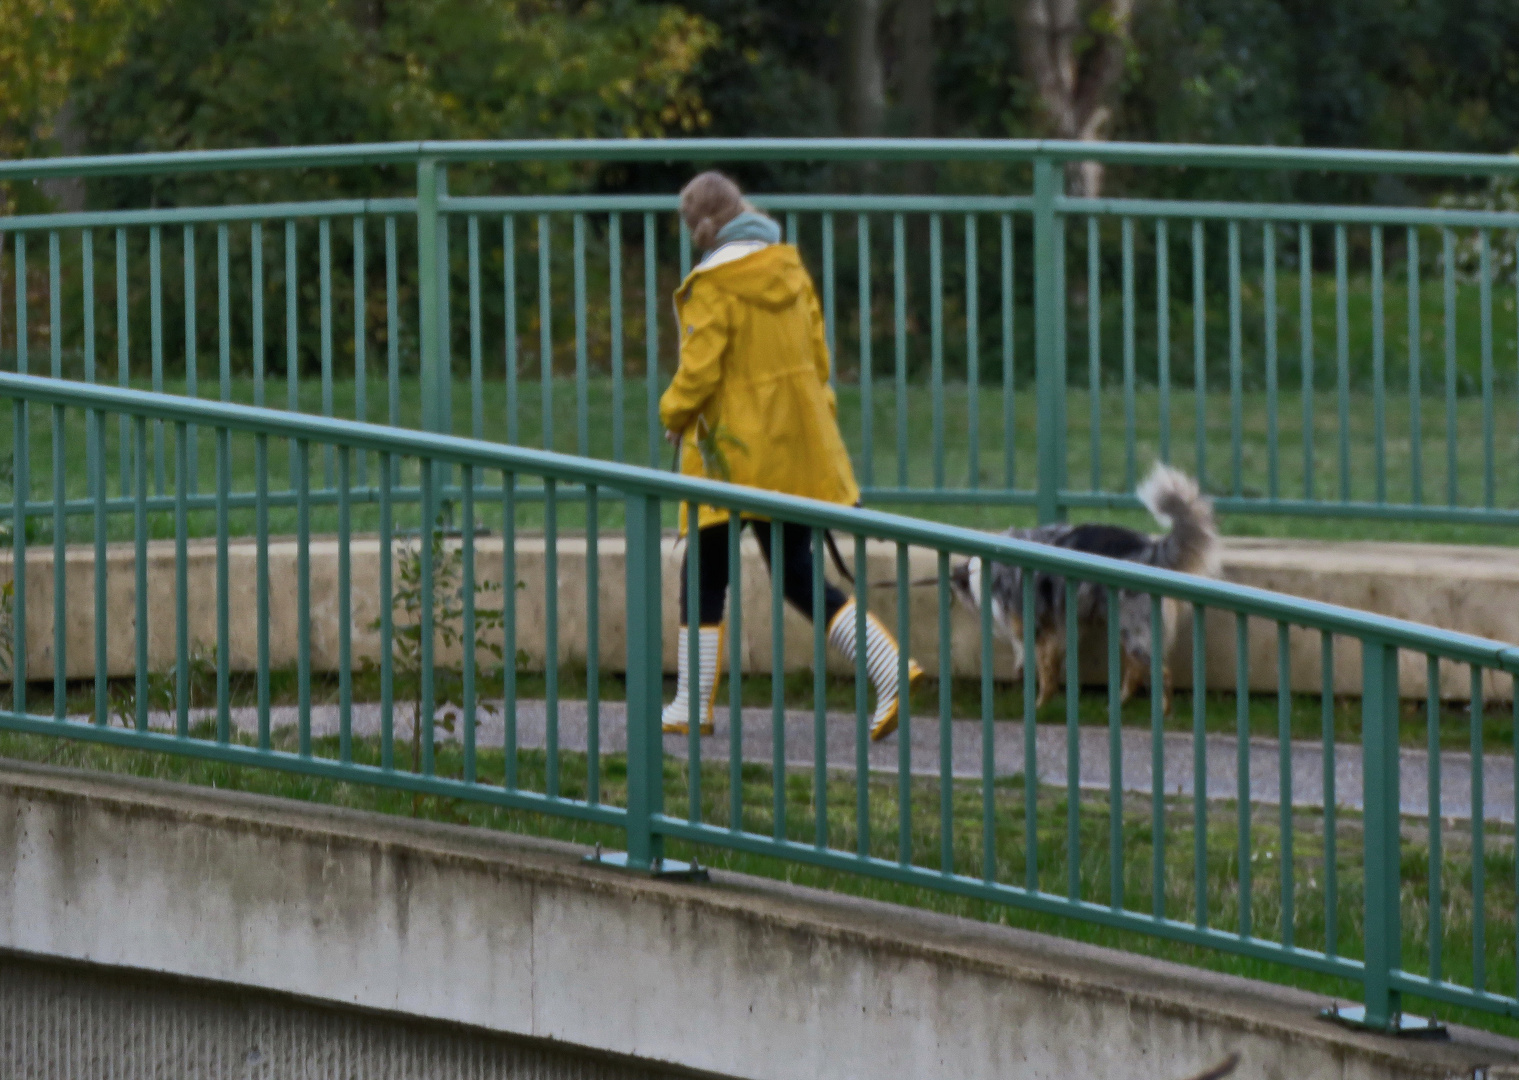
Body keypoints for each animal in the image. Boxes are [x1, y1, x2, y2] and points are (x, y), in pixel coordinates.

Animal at [947, 461, 1221, 713]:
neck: (981, 569)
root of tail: (1149, 549)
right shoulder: (1059, 631)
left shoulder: (1039, 630)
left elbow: (1045, 674)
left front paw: (1039, 706)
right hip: (1127, 630)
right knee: (1135, 672)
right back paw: (1116, 705)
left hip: (1135, 633)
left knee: (1162, 673)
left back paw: (1163, 713)